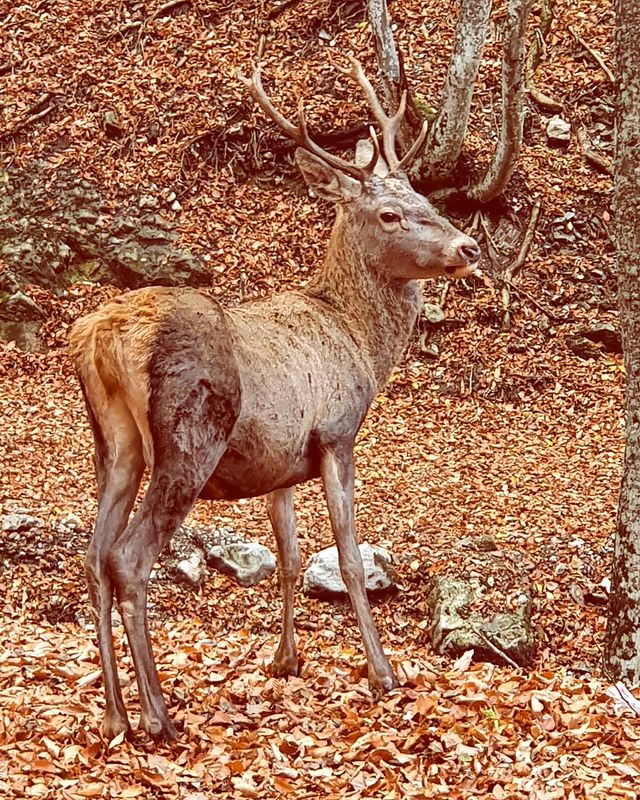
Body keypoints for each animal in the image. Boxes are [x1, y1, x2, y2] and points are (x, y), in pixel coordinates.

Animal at [68, 56, 481, 743]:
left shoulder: (280, 461)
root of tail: (104, 336)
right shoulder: (338, 433)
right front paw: (383, 672)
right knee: (129, 557)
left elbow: (289, 555)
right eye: (389, 215)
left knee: (96, 554)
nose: (469, 248)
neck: (359, 342)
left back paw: (113, 714)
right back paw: (157, 715)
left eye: (425, 200)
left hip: (114, 445)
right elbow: (347, 556)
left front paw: (286, 660)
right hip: (189, 437)